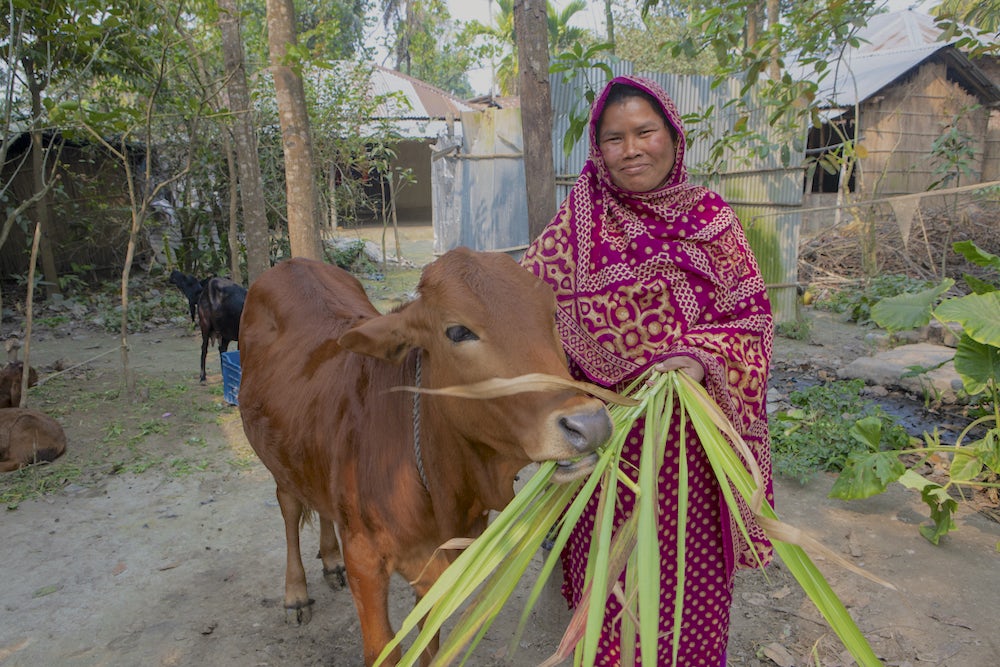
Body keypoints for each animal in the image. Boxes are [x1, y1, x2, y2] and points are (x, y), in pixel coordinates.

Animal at [238, 248, 612, 664]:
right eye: (458, 331)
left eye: (551, 317)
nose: (589, 423)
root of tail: (293, 262)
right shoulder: (365, 561)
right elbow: (383, 649)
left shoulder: (444, 564)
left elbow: (430, 644)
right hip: (275, 457)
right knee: (288, 506)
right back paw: (295, 594)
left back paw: (330, 559)